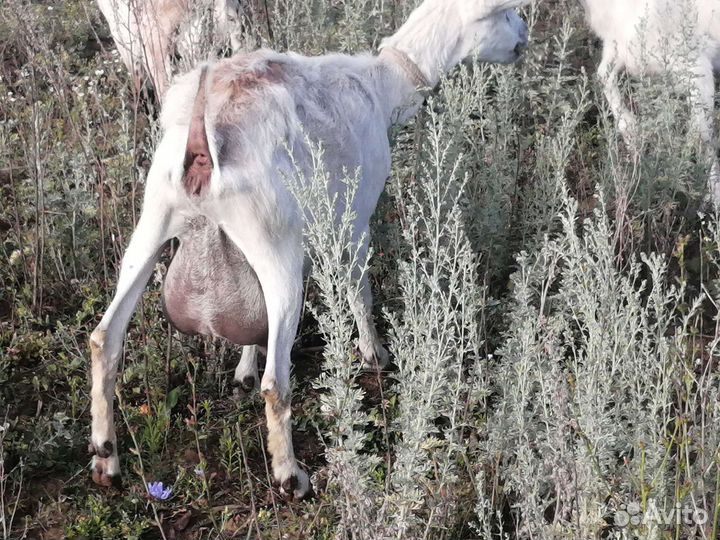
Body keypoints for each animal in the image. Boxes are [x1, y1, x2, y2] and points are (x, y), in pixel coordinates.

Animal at [581, 0, 720, 201]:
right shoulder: (619, 46)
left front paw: (713, 198)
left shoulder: (698, 69)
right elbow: (603, 76)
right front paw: (631, 135)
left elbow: (702, 138)